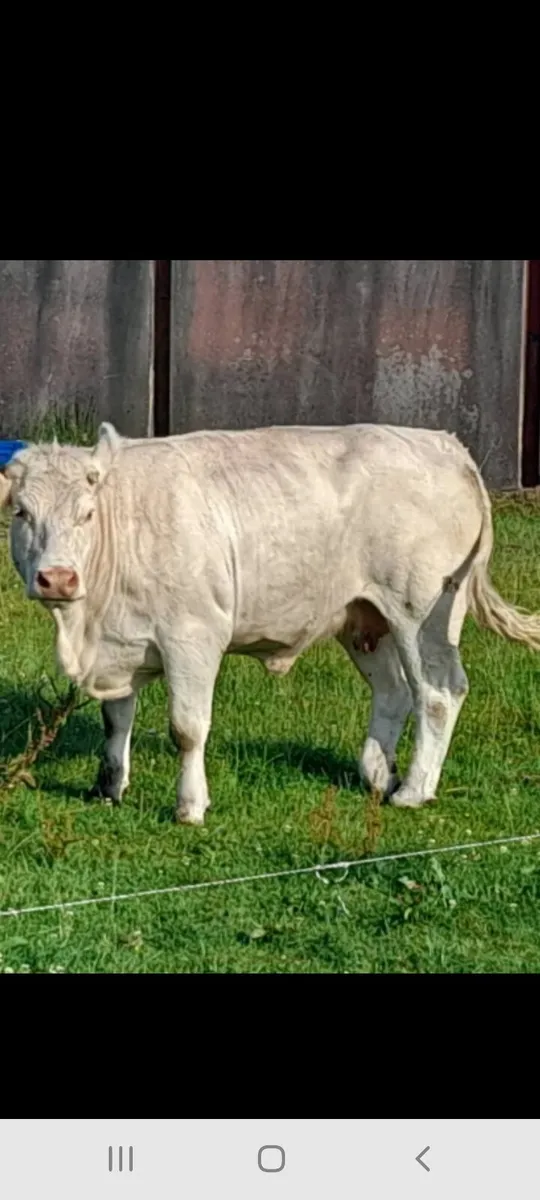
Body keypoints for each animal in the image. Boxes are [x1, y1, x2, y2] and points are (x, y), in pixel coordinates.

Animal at [1, 421, 540, 825]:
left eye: (87, 514)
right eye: (21, 511)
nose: (58, 578)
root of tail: (445, 444)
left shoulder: (193, 637)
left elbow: (187, 728)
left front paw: (190, 806)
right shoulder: (119, 644)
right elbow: (116, 719)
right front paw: (108, 787)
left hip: (422, 611)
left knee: (437, 692)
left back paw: (414, 789)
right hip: (366, 618)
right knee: (393, 691)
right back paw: (376, 774)